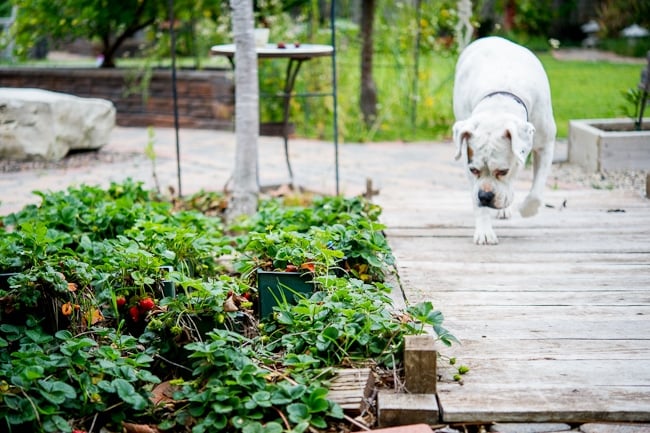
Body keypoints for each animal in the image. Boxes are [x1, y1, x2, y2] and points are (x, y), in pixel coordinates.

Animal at [450, 36, 552, 243]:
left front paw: (527, 209)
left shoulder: (546, 145)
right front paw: (484, 231)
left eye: (504, 171)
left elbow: (536, 192)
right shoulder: (467, 160)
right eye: (474, 170)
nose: (485, 196)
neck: (498, 104)